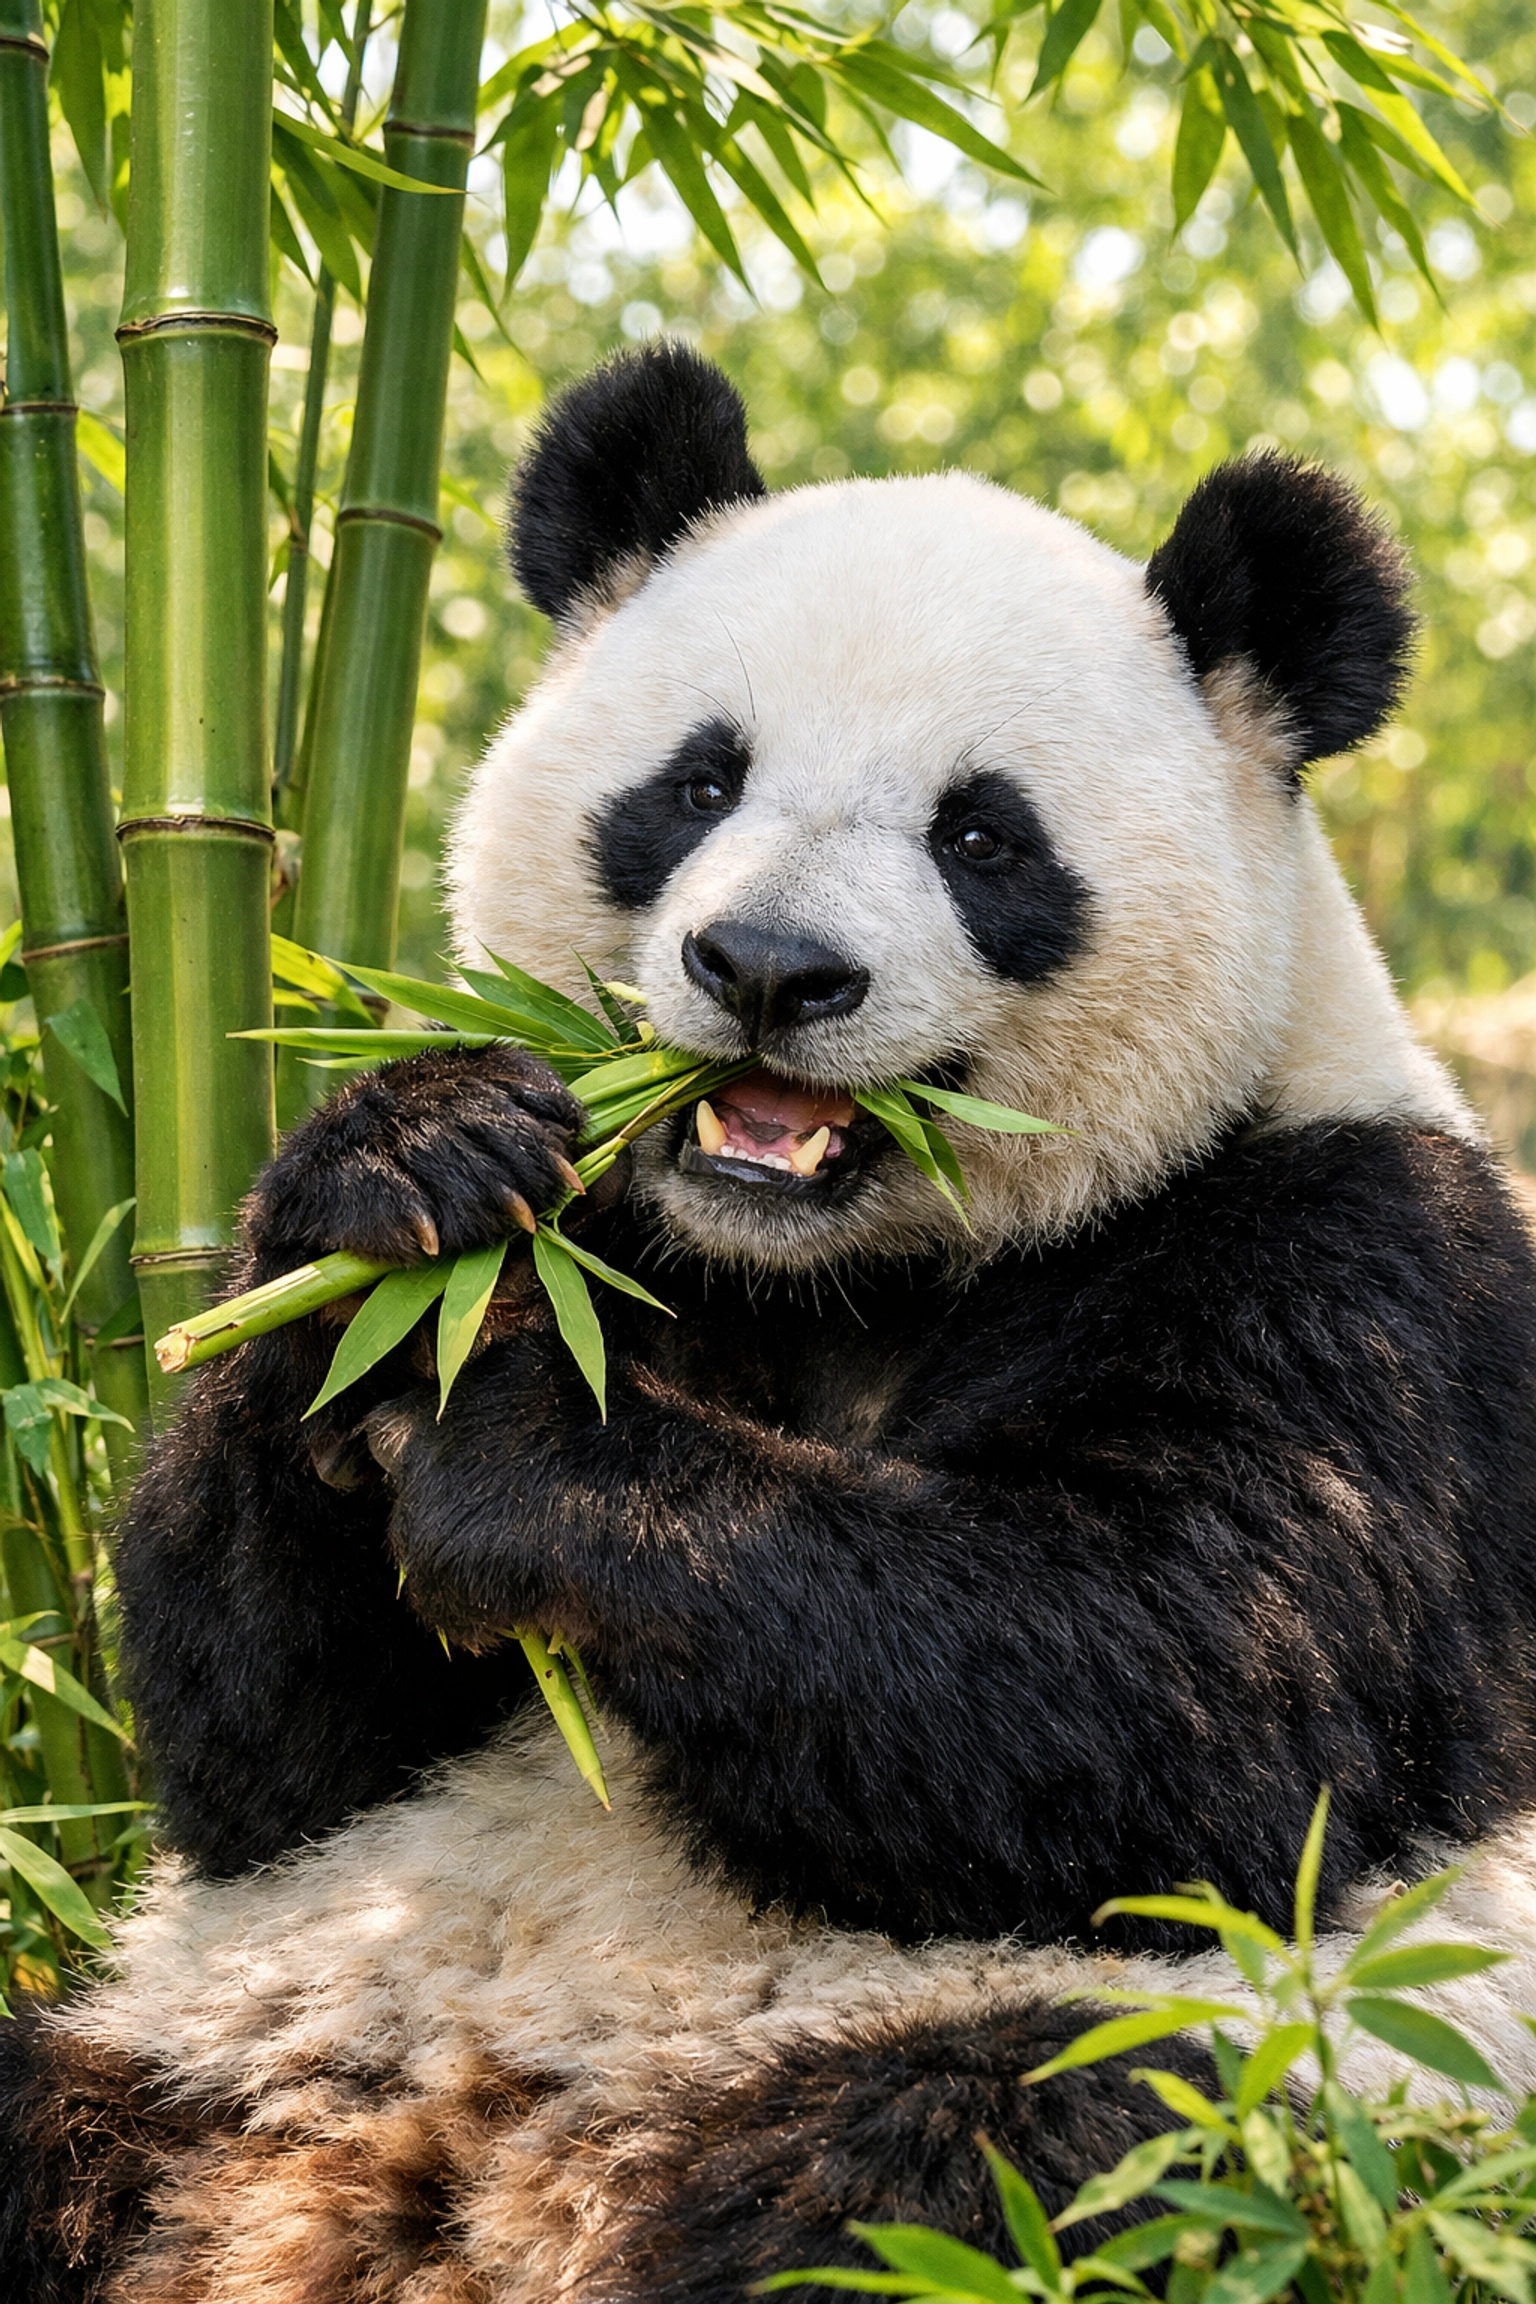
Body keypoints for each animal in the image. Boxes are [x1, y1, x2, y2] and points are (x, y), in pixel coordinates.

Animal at [8, 340, 1536, 2304]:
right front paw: (411, 1176)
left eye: (982, 834)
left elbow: (1193, 1688)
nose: (767, 973)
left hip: (1243, 2088)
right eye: (698, 782)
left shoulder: (1363, 1270)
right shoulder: (606, 1230)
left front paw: (520, 1444)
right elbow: (256, 1735)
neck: (829, 1269)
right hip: (192, 2032)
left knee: (1016, 2159)